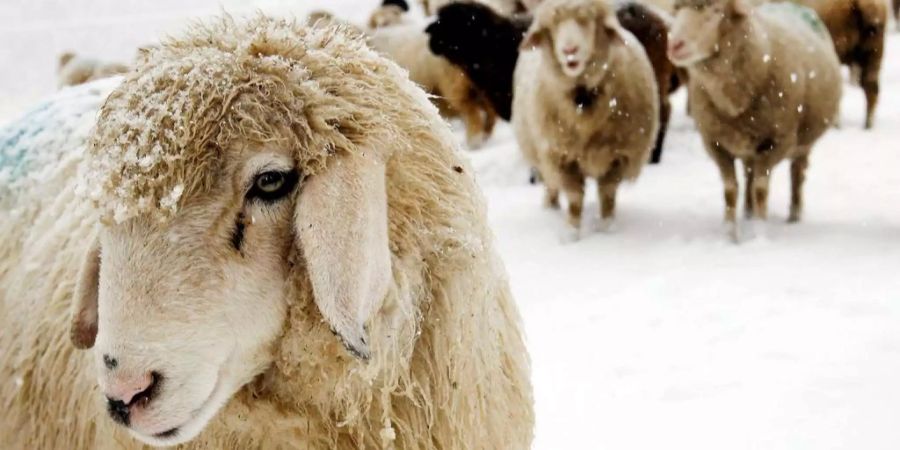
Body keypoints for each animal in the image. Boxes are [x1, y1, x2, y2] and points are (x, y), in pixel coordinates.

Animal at [513, 0, 660, 236]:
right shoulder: (562, 156)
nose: (569, 51)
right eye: (552, 25)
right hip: (541, 153)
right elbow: (575, 199)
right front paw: (572, 231)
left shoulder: (619, 154)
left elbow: (607, 194)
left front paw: (607, 226)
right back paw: (550, 207)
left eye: (586, 20)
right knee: (550, 184)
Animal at [668, 0, 842, 238]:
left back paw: (794, 215)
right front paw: (730, 233)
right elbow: (730, 190)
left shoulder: (777, 142)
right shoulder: (715, 144)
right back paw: (748, 212)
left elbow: (761, 190)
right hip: (749, 144)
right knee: (749, 174)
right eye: (677, 9)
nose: (674, 45)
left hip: (803, 142)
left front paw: (759, 234)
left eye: (715, 11)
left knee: (797, 174)